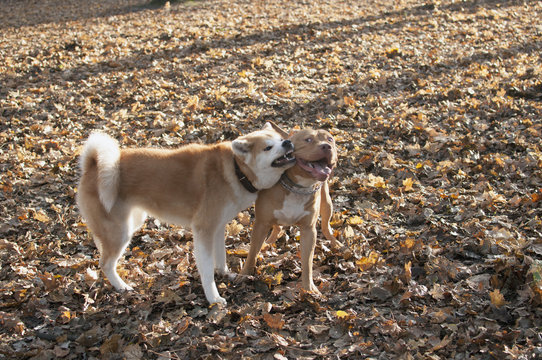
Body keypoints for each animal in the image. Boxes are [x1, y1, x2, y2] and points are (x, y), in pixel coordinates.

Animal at [243, 126, 344, 292]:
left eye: (330, 139)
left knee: (326, 227)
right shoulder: (261, 223)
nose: (327, 146)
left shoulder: (309, 230)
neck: (298, 187)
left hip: (327, 204)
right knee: (277, 228)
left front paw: (309, 288)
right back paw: (267, 243)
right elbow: (252, 252)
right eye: (308, 139)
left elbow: (307, 262)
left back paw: (336, 244)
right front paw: (244, 274)